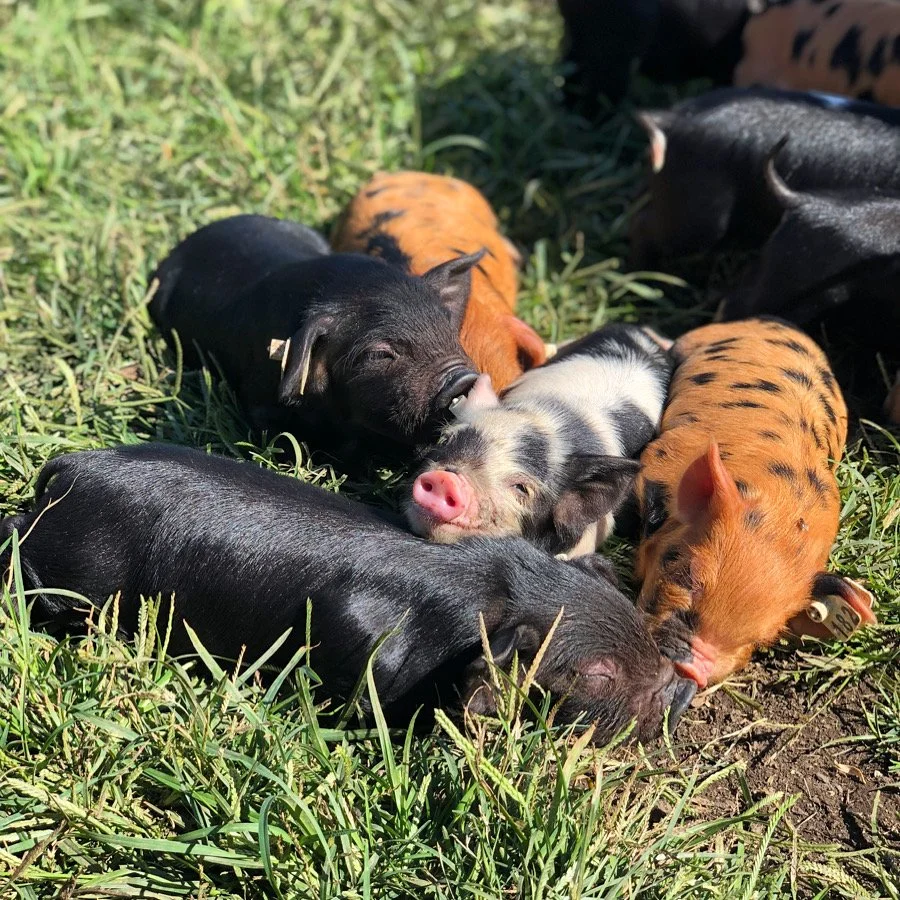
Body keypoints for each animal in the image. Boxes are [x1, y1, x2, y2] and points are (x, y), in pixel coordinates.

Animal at [0, 442, 696, 742]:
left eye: (632, 615)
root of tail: (71, 466)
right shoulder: (363, 648)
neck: (483, 589)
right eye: (597, 674)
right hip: (77, 573)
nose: (680, 689)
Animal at [635, 318, 877, 688]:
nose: (692, 670)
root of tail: (775, 321)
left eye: (761, 638)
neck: (782, 511)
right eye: (688, 578)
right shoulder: (659, 459)